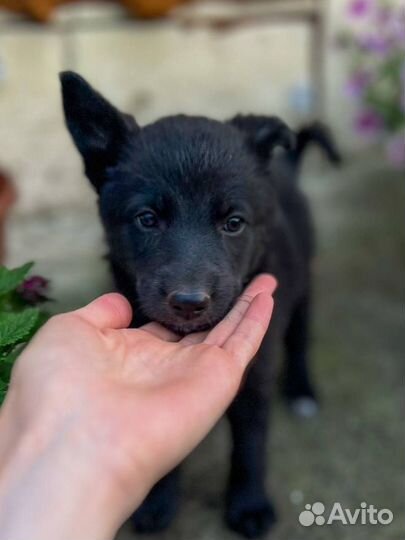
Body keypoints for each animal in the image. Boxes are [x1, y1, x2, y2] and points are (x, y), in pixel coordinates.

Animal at [59, 73, 338, 540]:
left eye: (233, 223)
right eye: (147, 219)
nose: (190, 303)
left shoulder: (256, 373)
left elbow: (250, 445)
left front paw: (249, 505)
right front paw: (157, 502)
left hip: (303, 288)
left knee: (300, 339)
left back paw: (302, 390)